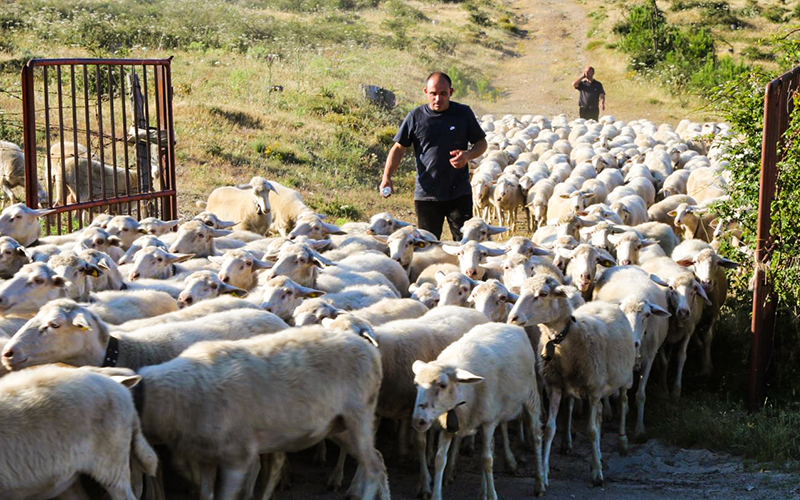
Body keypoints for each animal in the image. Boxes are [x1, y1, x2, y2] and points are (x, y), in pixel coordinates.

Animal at [410, 322, 548, 498]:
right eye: (416, 384)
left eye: (442, 385)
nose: (418, 420)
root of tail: (508, 325)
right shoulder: (449, 425)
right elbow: (440, 459)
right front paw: (436, 495)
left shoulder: (488, 422)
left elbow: (487, 460)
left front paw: (493, 495)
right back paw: (483, 491)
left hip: (530, 395)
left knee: (536, 436)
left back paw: (540, 483)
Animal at [512, 276, 636, 486]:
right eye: (520, 292)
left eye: (543, 294)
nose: (513, 317)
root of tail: (603, 303)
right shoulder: (554, 387)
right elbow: (550, 429)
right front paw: (544, 474)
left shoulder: (593, 390)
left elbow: (592, 430)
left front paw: (597, 475)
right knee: (599, 413)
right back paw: (598, 457)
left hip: (624, 378)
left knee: (623, 401)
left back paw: (622, 442)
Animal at [592, 268, 668, 436]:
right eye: (622, 312)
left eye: (647, 315)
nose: (633, 343)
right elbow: (622, 396)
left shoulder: (650, 357)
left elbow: (640, 395)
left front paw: (640, 429)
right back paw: (608, 411)